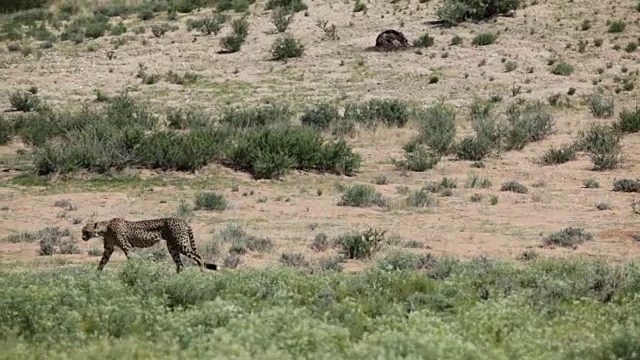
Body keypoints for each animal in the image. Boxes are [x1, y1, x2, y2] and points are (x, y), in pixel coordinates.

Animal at [81, 217, 218, 272]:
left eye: (85, 231)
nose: (82, 238)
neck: (106, 228)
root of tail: (182, 220)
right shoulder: (108, 249)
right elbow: (102, 262)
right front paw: (96, 276)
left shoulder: (127, 247)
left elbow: (131, 259)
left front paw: (135, 271)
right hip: (172, 247)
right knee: (180, 265)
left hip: (181, 244)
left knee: (199, 257)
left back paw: (202, 274)